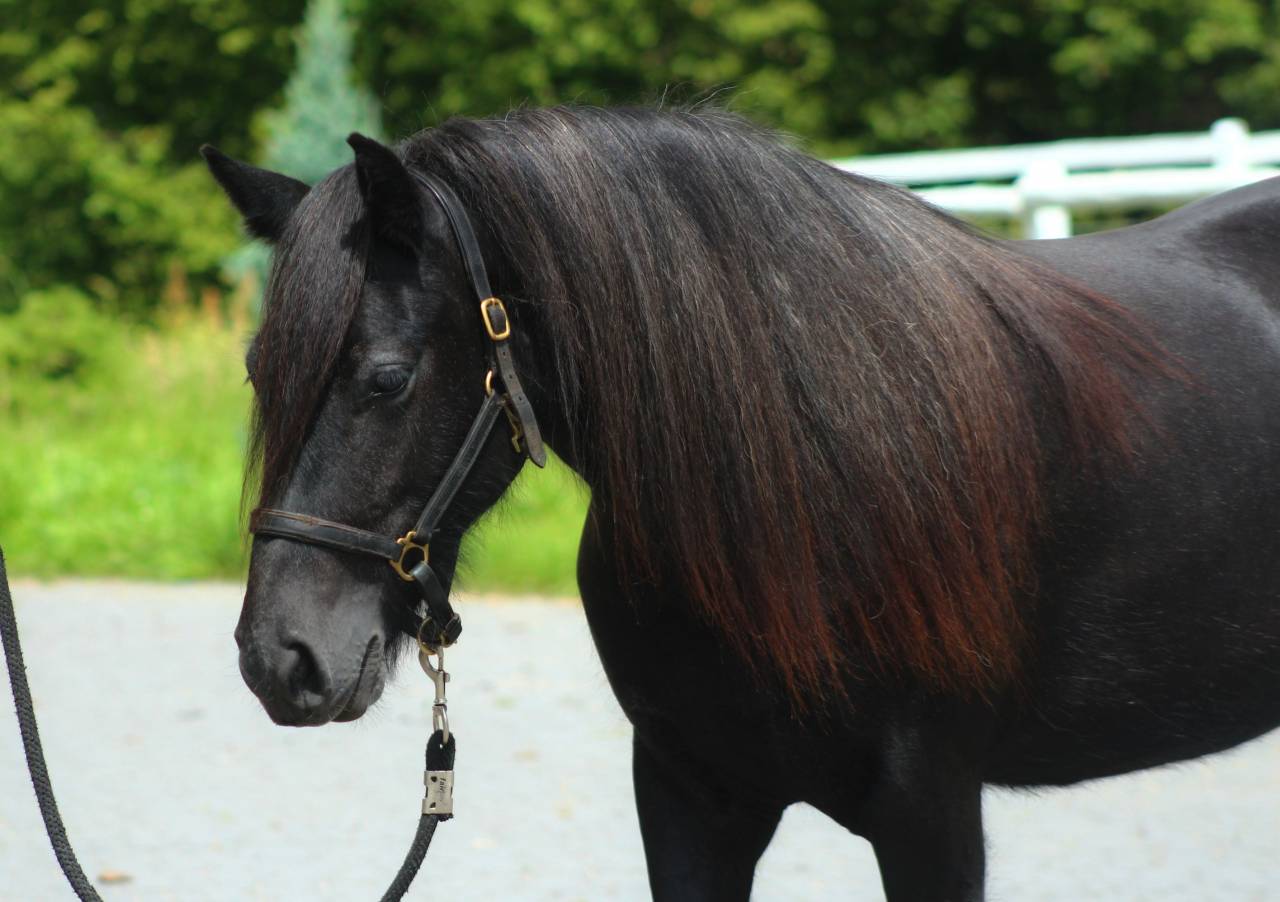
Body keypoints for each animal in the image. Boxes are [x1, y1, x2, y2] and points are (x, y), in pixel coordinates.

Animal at [203, 106, 1280, 901]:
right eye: (256, 372)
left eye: (386, 378)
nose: (279, 658)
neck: (809, 489)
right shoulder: (690, 798)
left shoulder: (929, 812)